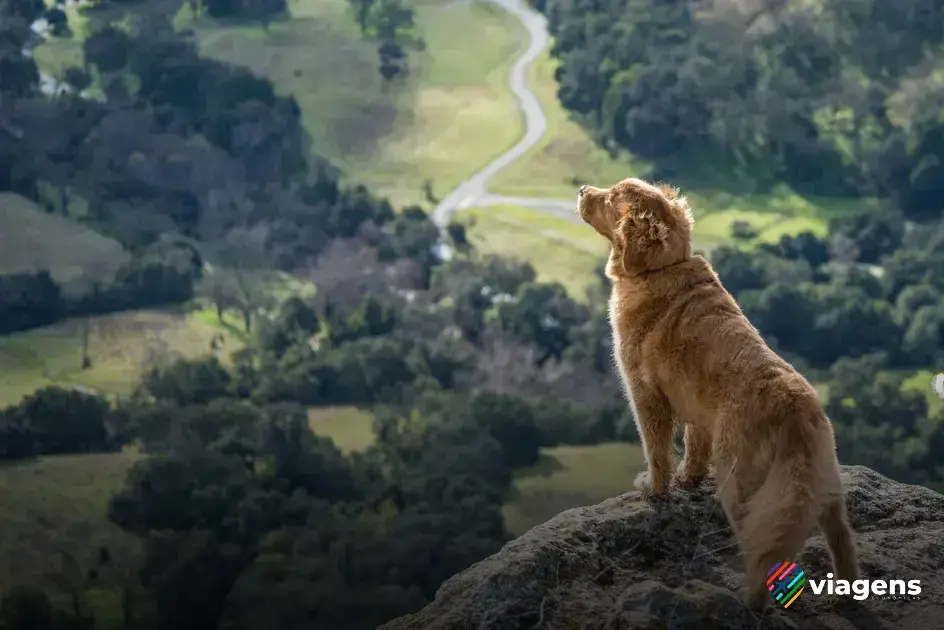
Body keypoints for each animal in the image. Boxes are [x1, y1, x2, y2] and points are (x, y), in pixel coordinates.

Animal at [576, 179, 864, 612]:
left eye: (610, 197)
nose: (581, 190)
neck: (663, 267)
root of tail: (795, 410)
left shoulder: (646, 396)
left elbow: (657, 451)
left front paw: (654, 488)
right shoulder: (696, 407)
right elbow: (694, 448)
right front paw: (688, 480)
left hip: (741, 484)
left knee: (764, 549)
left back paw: (751, 598)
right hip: (826, 490)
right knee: (842, 542)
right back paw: (847, 595)